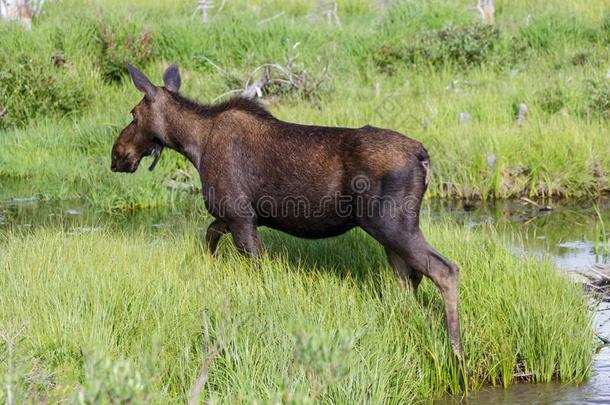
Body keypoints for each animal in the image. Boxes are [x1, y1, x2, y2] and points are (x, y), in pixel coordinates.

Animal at [110, 64, 460, 356]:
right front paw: (208, 267)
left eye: (133, 113)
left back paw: (456, 354)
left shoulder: (239, 215)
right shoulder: (235, 215)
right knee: (408, 280)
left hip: (391, 224)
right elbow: (209, 235)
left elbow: (256, 269)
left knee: (445, 270)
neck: (194, 145)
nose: (116, 155)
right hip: (393, 234)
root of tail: (423, 157)